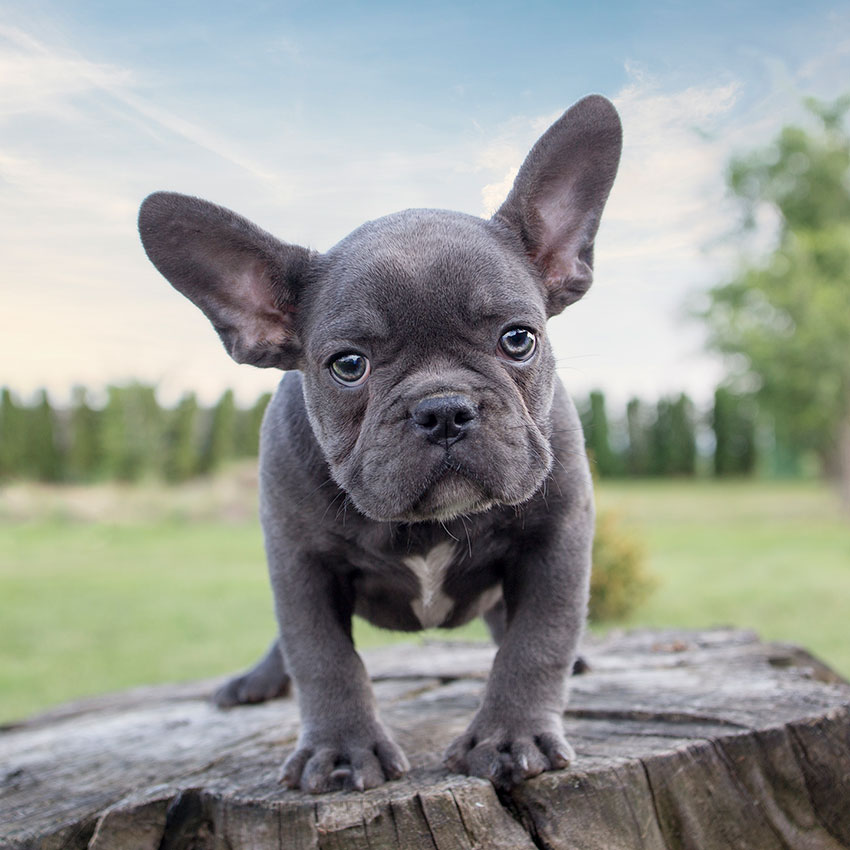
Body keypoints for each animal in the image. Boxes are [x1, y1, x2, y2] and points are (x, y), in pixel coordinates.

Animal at [137, 96, 616, 792]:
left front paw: (512, 736)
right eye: (348, 365)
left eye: (518, 339)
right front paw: (341, 751)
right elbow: (323, 658)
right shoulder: (300, 562)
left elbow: (538, 640)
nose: (443, 410)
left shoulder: (556, 536)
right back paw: (258, 679)